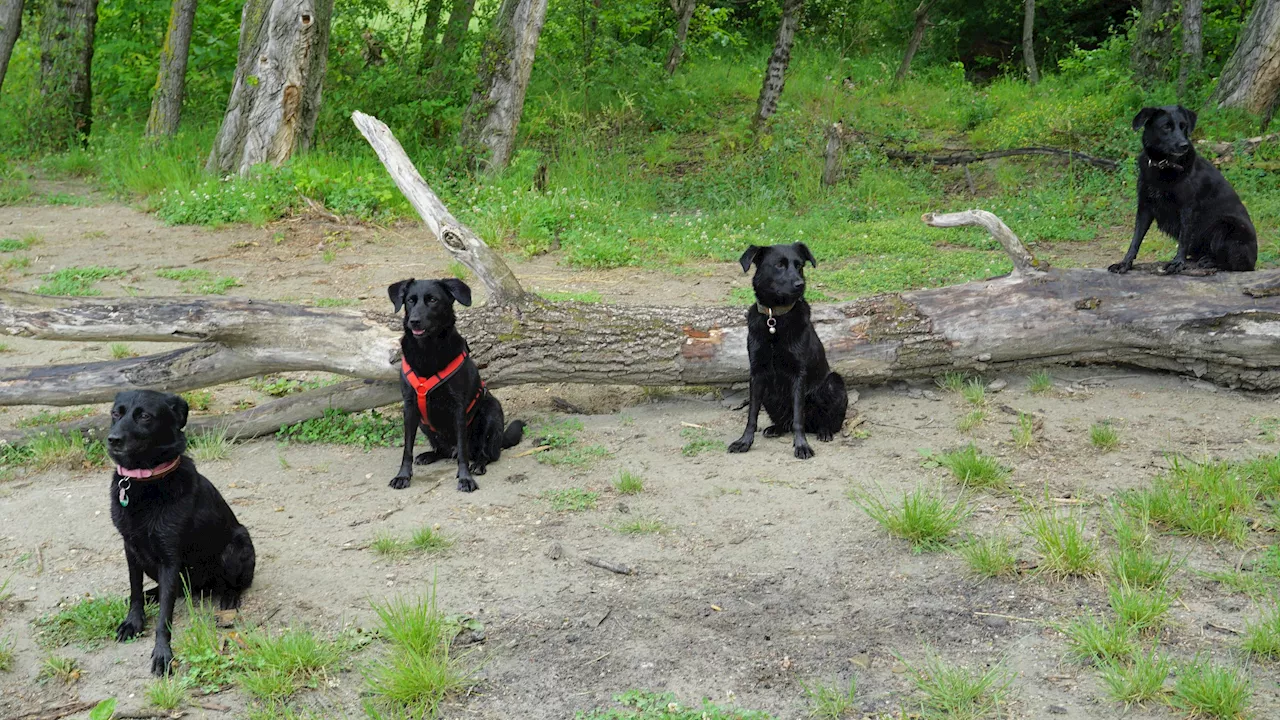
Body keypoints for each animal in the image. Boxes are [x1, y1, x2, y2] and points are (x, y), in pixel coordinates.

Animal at [107, 386, 254, 671]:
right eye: (116, 413)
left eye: (145, 416)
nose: (113, 439)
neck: (145, 481)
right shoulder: (130, 549)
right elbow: (134, 592)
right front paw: (133, 622)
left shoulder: (170, 558)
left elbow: (165, 616)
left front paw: (162, 653)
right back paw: (153, 593)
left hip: (237, 545)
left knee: (234, 584)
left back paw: (229, 599)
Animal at [381, 274, 522, 486]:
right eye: (410, 300)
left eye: (433, 300)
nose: (414, 321)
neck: (428, 352)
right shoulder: (410, 406)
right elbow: (407, 448)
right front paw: (402, 476)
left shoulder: (458, 408)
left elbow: (463, 451)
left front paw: (465, 478)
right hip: (424, 423)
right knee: (443, 450)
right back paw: (429, 455)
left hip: (491, 410)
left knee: (486, 453)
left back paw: (478, 464)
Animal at [727, 243, 844, 456]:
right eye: (779, 265)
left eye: (800, 266)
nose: (800, 284)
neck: (774, 318)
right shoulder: (757, 374)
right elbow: (752, 416)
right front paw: (744, 442)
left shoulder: (799, 374)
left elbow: (799, 417)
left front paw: (802, 445)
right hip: (769, 393)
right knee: (785, 422)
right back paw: (776, 428)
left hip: (834, 382)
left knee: (825, 421)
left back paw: (824, 432)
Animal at [1105, 104, 1254, 274]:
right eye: (1166, 127)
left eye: (1184, 126)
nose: (1184, 145)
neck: (1163, 165)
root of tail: (1254, 259)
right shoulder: (1145, 207)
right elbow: (1136, 239)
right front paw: (1125, 263)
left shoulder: (1187, 208)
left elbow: (1184, 238)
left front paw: (1177, 262)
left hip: (1225, 226)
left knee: (1236, 264)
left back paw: (1209, 261)